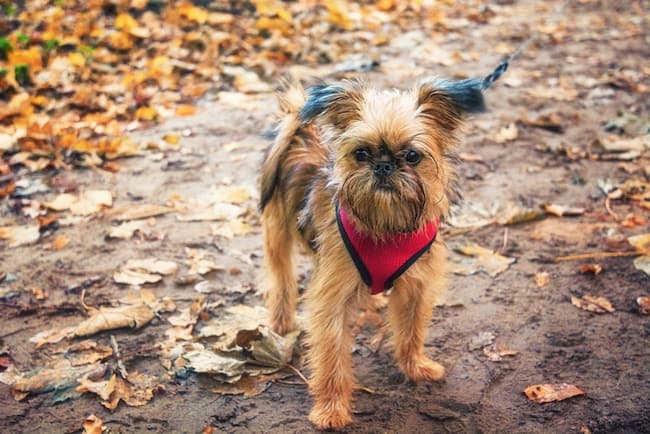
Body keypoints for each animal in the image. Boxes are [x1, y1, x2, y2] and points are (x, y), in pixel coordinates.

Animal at [260, 77, 484, 428]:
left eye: (412, 156)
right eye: (361, 153)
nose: (383, 165)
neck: (385, 225)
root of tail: (301, 130)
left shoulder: (416, 287)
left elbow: (411, 332)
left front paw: (416, 367)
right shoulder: (331, 301)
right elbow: (332, 359)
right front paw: (331, 409)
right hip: (276, 231)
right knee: (281, 277)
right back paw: (281, 324)